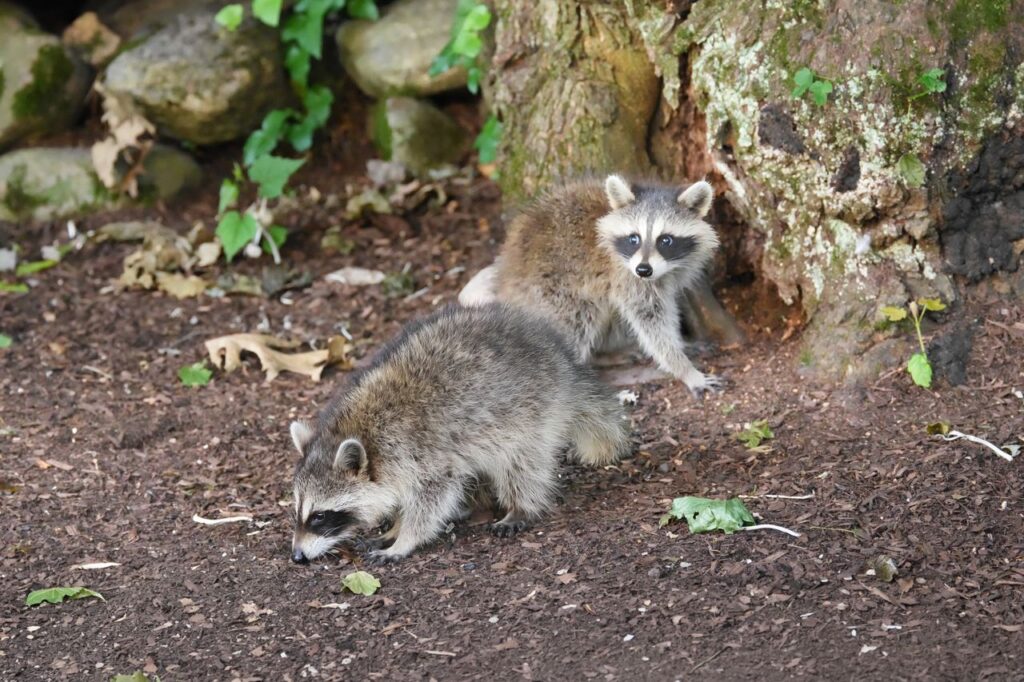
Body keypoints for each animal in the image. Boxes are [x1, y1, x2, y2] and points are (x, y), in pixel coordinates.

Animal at [289, 303, 630, 564]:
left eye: (319, 516)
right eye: (299, 511)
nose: (297, 556)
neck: (361, 432)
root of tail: (565, 363)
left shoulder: (420, 453)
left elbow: (431, 500)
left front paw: (405, 538)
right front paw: (395, 527)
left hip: (529, 412)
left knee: (520, 464)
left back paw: (520, 505)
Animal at [459, 175, 724, 397]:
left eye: (665, 240)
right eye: (634, 238)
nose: (643, 270)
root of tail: (506, 275)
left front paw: (683, 344)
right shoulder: (625, 277)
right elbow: (651, 322)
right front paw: (684, 369)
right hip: (551, 290)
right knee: (575, 324)